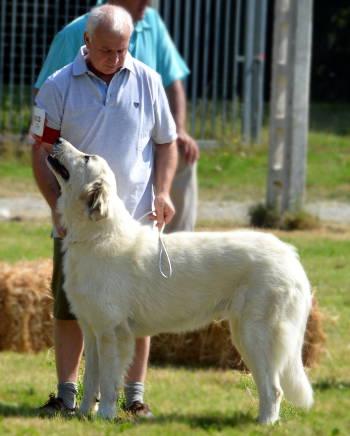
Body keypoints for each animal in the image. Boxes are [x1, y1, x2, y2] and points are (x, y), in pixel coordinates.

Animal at [47, 139, 314, 422]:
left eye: (87, 158)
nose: (57, 140)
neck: (96, 234)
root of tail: (290, 256)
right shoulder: (92, 330)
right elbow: (91, 380)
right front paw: (84, 413)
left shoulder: (112, 332)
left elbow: (108, 382)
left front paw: (105, 416)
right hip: (244, 334)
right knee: (268, 387)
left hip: (256, 333)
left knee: (274, 389)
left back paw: (264, 423)